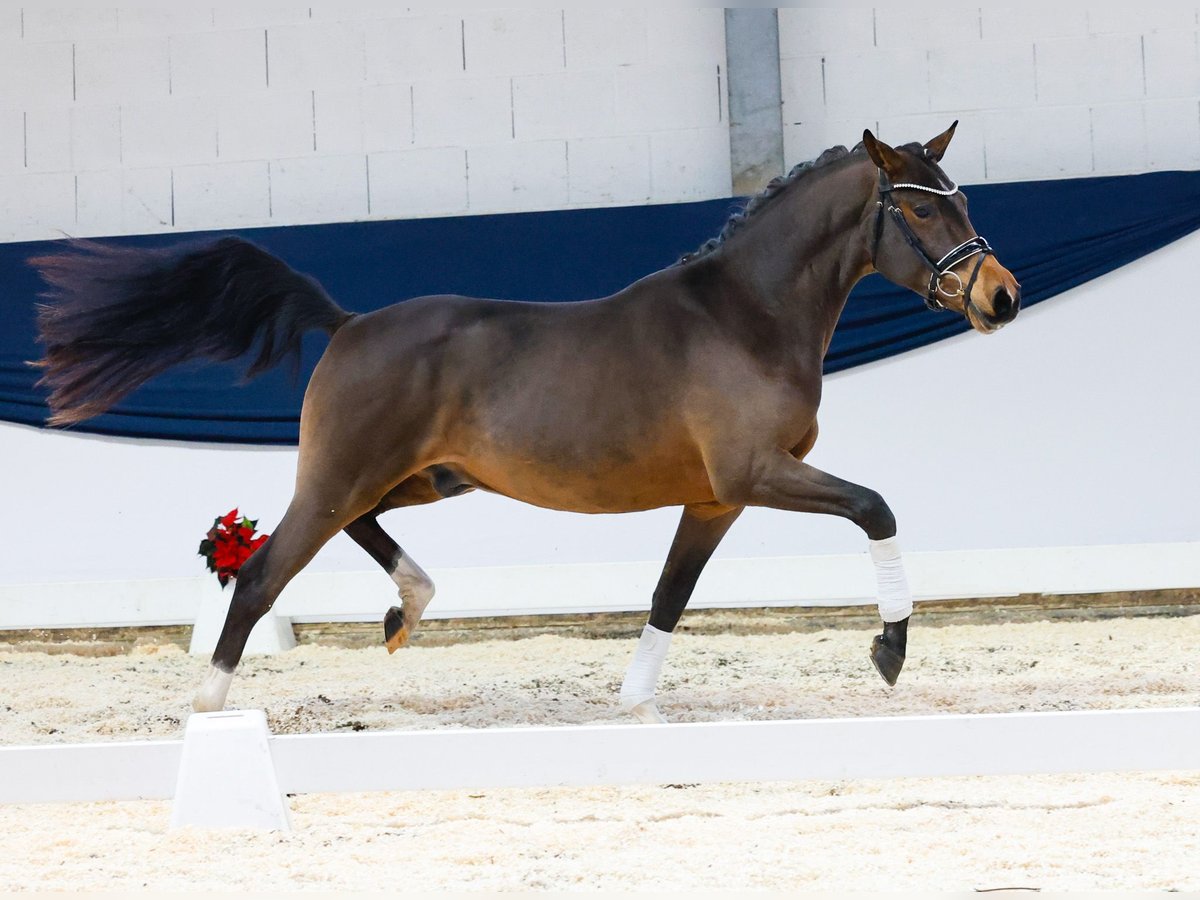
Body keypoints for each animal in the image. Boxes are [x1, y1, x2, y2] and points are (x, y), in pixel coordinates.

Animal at [32, 123, 1017, 724]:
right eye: (920, 206)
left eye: (963, 200)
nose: (1001, 297)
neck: (744, 314)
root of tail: (347, 322)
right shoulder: (754, 474)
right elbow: (878, 507)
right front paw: (889, 651)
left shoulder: (715, 500)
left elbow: (669, 594)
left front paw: (636, 702)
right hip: (345, 475)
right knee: (261, 571)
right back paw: (208, 708)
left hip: (416, 478)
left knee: (349, 532)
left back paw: (408, 608)